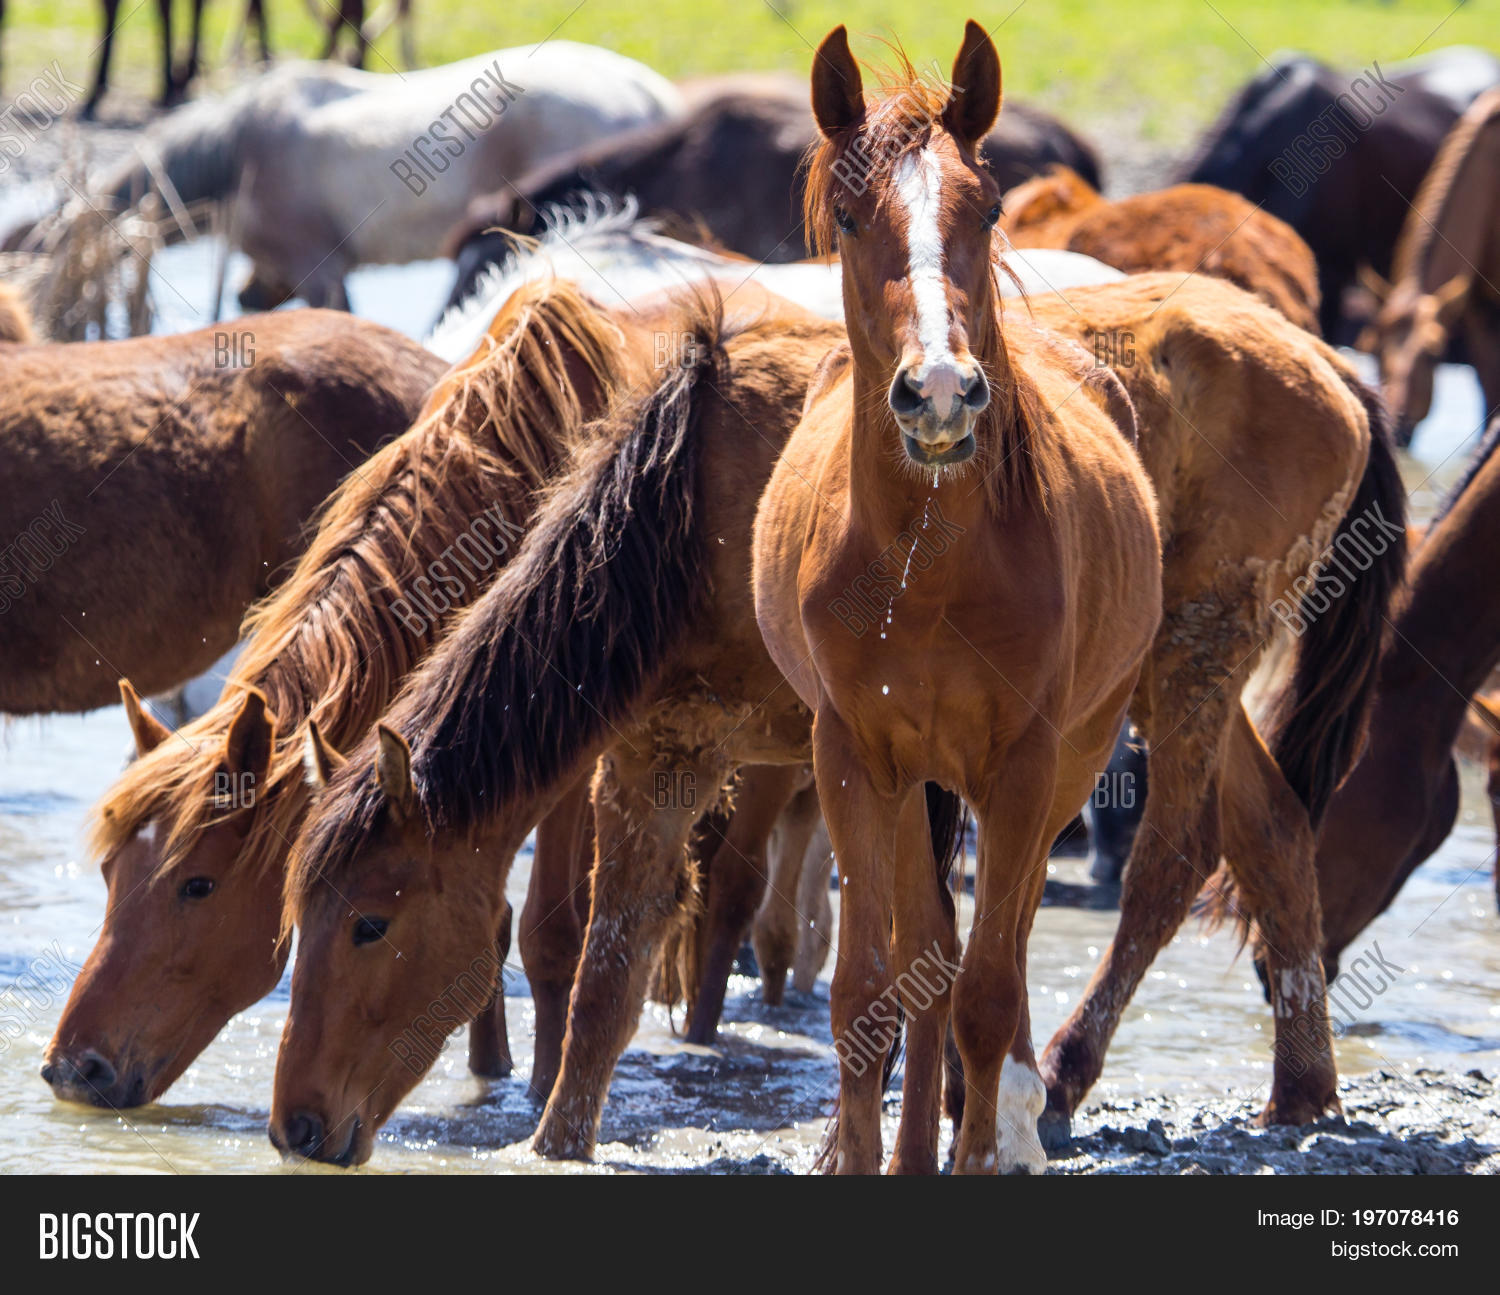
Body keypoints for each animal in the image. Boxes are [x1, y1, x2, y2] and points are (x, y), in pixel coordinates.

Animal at [753, 24, 1165, 1176]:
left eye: (986, 209)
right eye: (853, 217)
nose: (939, 391)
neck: (927, 573)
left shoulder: (1023, 766)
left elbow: (987, 990)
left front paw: (987, 1146)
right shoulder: (854, 756)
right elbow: (870, 988)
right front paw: (859, 1156)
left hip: (1068, 760)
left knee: (1001, 950)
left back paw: (1004, 1121)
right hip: (911, 783)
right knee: (927, 951)